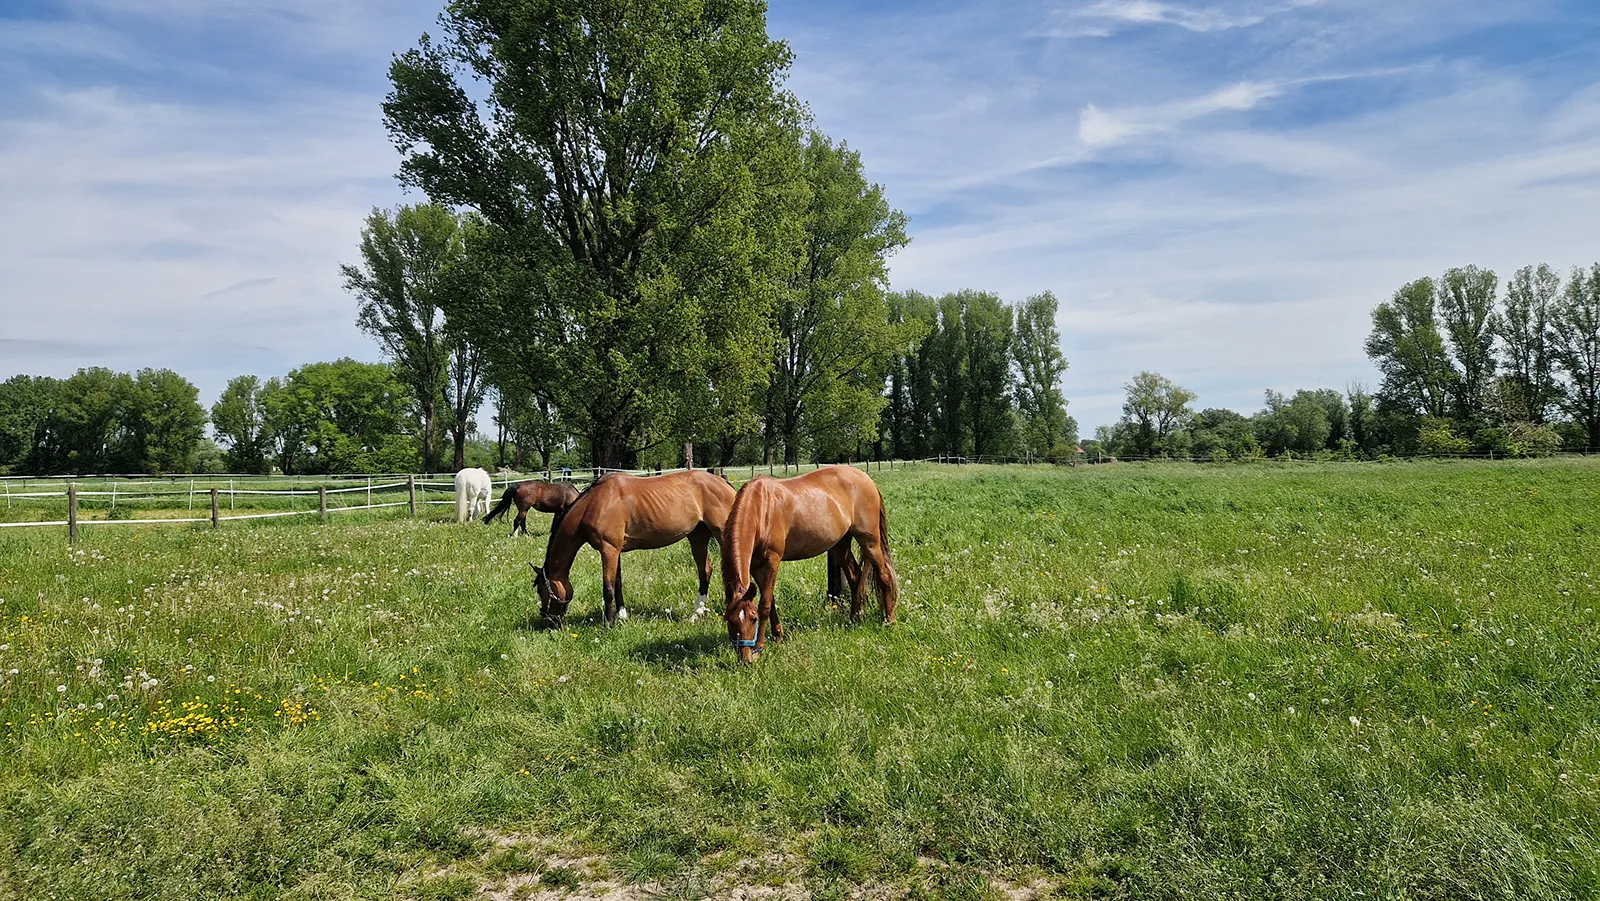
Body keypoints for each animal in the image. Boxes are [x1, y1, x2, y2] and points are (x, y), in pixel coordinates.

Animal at [531, 470, 735, 627]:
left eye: (541, 590)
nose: (548, 619)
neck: (594, 503)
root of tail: (723, 482)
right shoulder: (615, 551)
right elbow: (618, 583)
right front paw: (621, 616)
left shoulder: (608, 550)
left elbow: (608, 588)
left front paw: (609, 623)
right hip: (697, 538)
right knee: (705, 571)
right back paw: (696, 614)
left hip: (721, 534)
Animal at [721, 465, 897, 663]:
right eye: (729, 620)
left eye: (753, 619)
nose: (744, 658)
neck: (761, 508)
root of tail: (867, 479)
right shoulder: (756, 566)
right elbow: (771, 601)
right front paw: (778, 636)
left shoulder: (772, 561)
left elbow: (765, 605)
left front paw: (759, 648)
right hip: (840, 545)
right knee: (855, 577)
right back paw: (854, 619)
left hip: (869, 541)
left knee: (884, 575)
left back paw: (889, 621)